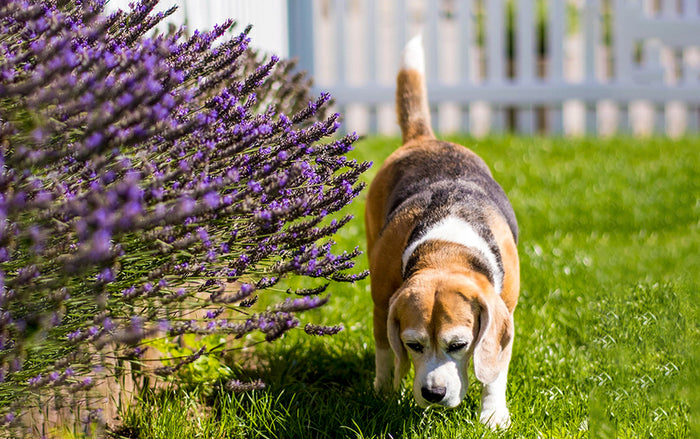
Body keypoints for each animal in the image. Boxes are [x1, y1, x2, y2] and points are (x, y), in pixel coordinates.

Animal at [364, 37, 516, 430]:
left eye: (459, 345)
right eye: (413, 344)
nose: (433, 394)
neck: (447, 248)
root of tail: (424, 138)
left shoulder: (506, 308)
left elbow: (495, 368)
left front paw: (493, 413)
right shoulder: (382, 305)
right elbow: (385, 354)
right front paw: (384, 393)